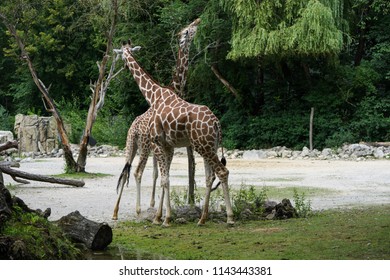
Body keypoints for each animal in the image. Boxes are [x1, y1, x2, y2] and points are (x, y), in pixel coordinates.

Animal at [111, 19, 200, 221]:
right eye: (187, 31)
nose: (198, 21)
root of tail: (133, 129)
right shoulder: (163, 145)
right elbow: (161, 175)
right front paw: (160, 212)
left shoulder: (164, 146)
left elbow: (160, 175)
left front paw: (159, 211)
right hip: (141, 146)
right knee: (136, 172)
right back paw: (136, 210)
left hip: (132, 146)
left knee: (127, 171)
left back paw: (117, 212)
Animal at [118, 38, 235, 228]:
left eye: (122, 54)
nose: (124, 66)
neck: (154, 95)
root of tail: (217, 123)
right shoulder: (168, 146)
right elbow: (165, 178)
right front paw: (160, 217)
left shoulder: (158, 143)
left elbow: (164, 179)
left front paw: (165, 219)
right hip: (210, 146)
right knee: (210, 176)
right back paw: (202, 218)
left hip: (202, 146)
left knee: (222, 172)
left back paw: (230, 217)